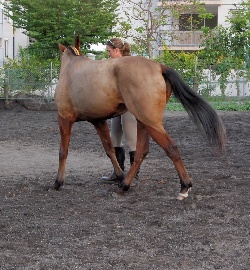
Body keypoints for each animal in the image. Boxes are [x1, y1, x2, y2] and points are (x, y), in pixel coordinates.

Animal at [53, 39, 226, 200]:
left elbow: (63, 151)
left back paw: (184, 187)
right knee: (141, 152)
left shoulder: (64, 119)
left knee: (171, 148)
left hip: (151, 123)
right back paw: (124, 184)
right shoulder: (98, 121)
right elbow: (110, 150)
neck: (71, 68)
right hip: (143, 122)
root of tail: (159, 67)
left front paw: (58, 182)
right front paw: (119, 175)